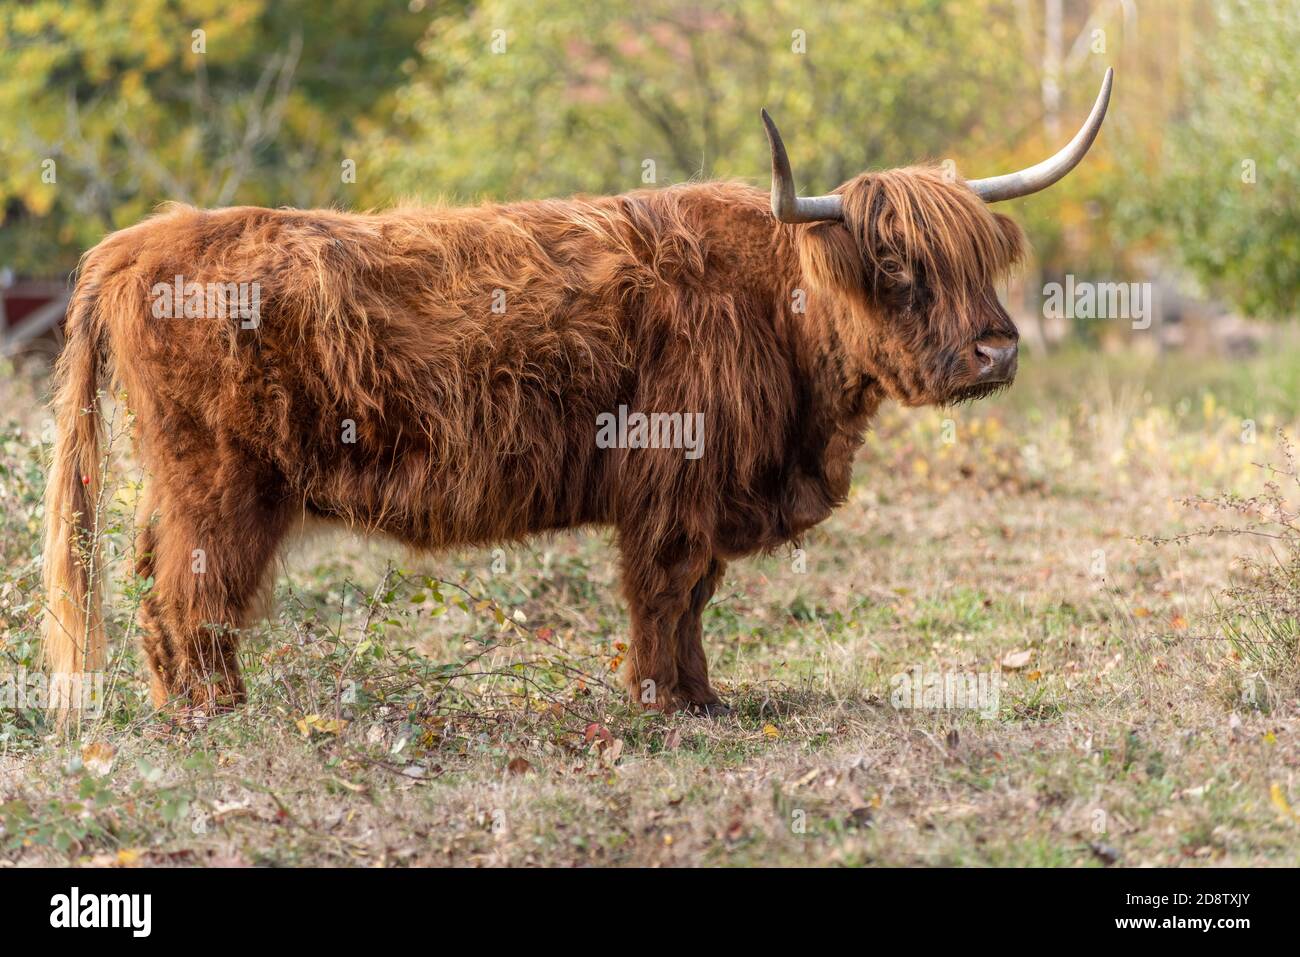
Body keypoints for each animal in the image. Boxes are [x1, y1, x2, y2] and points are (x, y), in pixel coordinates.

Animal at [42, 70, 1112, 721]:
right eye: (896, 264)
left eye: (984, 259)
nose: (996, 349)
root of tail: (143, 240)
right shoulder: (673, 480)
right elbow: (667, 588)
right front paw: (662, 701)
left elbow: (696, 596)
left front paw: (704, 697)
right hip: (222, 485)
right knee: (191, 594)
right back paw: (215, 714)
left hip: (182, 483)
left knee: (156, 584)